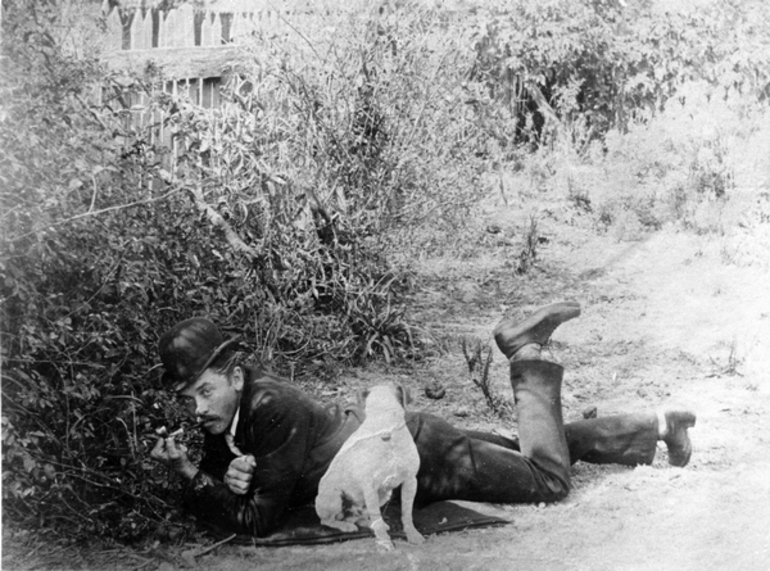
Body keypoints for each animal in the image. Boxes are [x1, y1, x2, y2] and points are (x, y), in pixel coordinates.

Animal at [314, 384, 426, 548]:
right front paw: (385, 542)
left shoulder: (410, 481)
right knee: (327, 520)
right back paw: (346, 526)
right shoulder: (370, 487)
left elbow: (406, 513)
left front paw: (412, 535)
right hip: (333, 497)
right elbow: (377, 517)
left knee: (363, 518)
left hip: (384, 495)